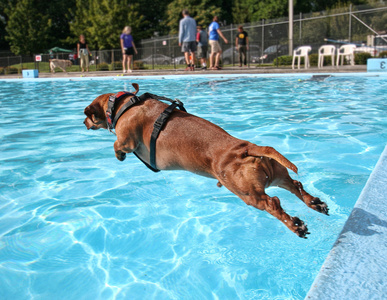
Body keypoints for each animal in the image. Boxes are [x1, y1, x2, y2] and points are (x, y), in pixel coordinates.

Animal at [84, 83, 328, 238]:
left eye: (88, 116)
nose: (83, 122)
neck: (125, 104)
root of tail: (245, 148)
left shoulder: (126, 139)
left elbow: (117, 145)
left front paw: (119, 155)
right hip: (276, 175)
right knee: (295, 185)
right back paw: (315, 203)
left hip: (248, 194)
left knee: (272, 203)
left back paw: (295, 225)